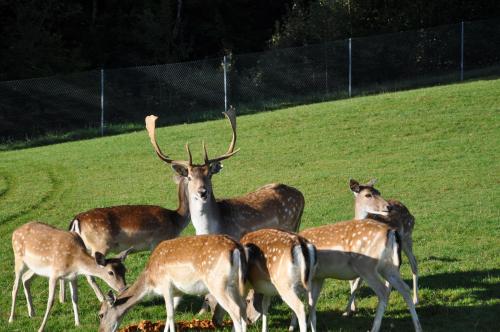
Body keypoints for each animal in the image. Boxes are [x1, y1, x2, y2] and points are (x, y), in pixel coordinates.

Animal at [60, 174, 189, 304]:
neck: (176, 221)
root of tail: (76, 220)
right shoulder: (159, 241)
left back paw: (62, 299)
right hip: (100, 244)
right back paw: (101, 298)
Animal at [97, 233, 248, 332]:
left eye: (101, 314)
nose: (101, 330)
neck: (151, 281)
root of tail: (236, 248)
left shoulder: (166, 285)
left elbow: (169, 314)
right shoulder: (178, 292)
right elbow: (171, 316)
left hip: (217, 283)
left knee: (235, 309)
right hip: (235, 283)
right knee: (243, 306)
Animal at [294, 220, 424, 332]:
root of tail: (391, 232)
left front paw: (294, 326)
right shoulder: (319, 277)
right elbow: (311, 303)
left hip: (366, 266)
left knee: (383, 291)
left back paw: (374, 328)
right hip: (388, 267)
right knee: (404, 289)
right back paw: (418, 327)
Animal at [344, 179, 418, 316]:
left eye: (379, 192)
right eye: (368, 194)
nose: (388, 207)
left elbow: (358, 283)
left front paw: (347, 310)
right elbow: (352, 281)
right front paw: (352, 308)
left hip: (407, 237)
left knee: (413, 263)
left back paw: (415, 299)